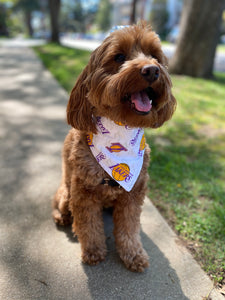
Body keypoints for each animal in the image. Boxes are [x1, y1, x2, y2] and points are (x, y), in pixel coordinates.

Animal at [52, 21, 176, 272]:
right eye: (119, 57)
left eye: (154, 56)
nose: (152, 70)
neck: (120, 129)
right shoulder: (83, 192)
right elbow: (89, 226)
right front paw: (93, 251)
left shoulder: (134, 192)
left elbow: (128, 227)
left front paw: (133, 254)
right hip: (65, 193)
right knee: (60, 206)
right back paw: (63, 217)